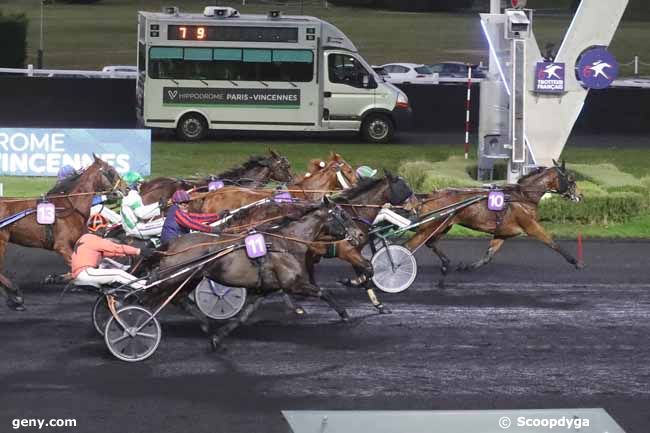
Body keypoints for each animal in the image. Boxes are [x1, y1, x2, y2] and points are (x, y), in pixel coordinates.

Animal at [0, 154, 124, 308]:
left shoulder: (77, 243)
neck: (71, 208)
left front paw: (55, 278)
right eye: (111, 171)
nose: (126, 187)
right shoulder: (62, 246)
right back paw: (15, 294)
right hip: (2, 240)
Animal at [153, 199, 364, 348]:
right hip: (176, 277)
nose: (360, 234)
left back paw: (204, 323)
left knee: (178, 298)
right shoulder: (293, 284)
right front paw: (345, 315)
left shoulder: (265, 289)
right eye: (343, 214)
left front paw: (217, 338)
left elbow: (244, 315)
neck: (285, 243)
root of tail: (170, 246)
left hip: (190, 279)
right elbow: (323, 292)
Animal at [404, 162, 584, 274]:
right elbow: (552, 243)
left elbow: (488, 256)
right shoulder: (531, 226)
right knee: (409, 246)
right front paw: (576, 262)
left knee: (430, 243)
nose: (580, 196)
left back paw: (445, 263)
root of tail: (429, 196)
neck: (523, 197)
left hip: (443, 226)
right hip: (433, 226)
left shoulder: (502, 233)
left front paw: (467, 267)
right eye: (571, 178)